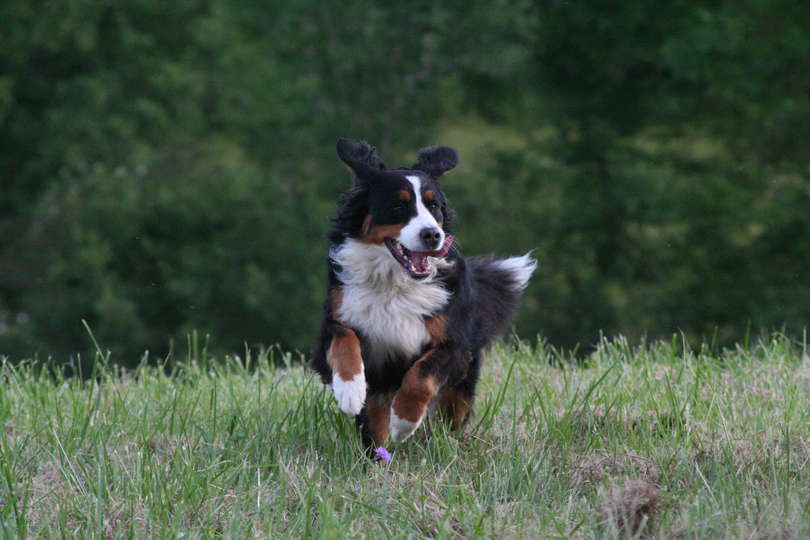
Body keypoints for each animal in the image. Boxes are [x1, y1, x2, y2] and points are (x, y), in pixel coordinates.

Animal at [311, 139, 536, 449]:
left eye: (434, 206)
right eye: (398, 205)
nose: (432, 235)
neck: (395, 282)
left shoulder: (453, 344)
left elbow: (422, 376)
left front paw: (405, 422)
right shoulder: (338, 316)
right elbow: (344, 340)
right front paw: (350, 391)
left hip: (462, 386)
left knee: (452, 415)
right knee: (375, 423)